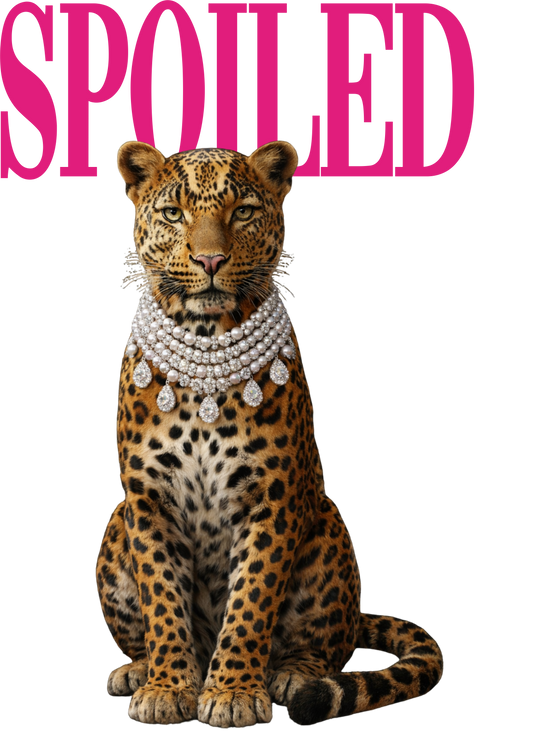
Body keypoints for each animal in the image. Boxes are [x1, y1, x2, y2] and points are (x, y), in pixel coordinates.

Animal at [93, 138, 446, 730]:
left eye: (242, 212)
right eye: (174, 214)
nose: (210, 260)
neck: (206, 335)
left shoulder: (272, 498)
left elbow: (252, 599)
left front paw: (233, 693)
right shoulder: (148, 501)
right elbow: (163, 601)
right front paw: (168, 687)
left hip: (328, 529)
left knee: (328, 648)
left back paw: (293, 675)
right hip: (115, 527)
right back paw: (137, 669)